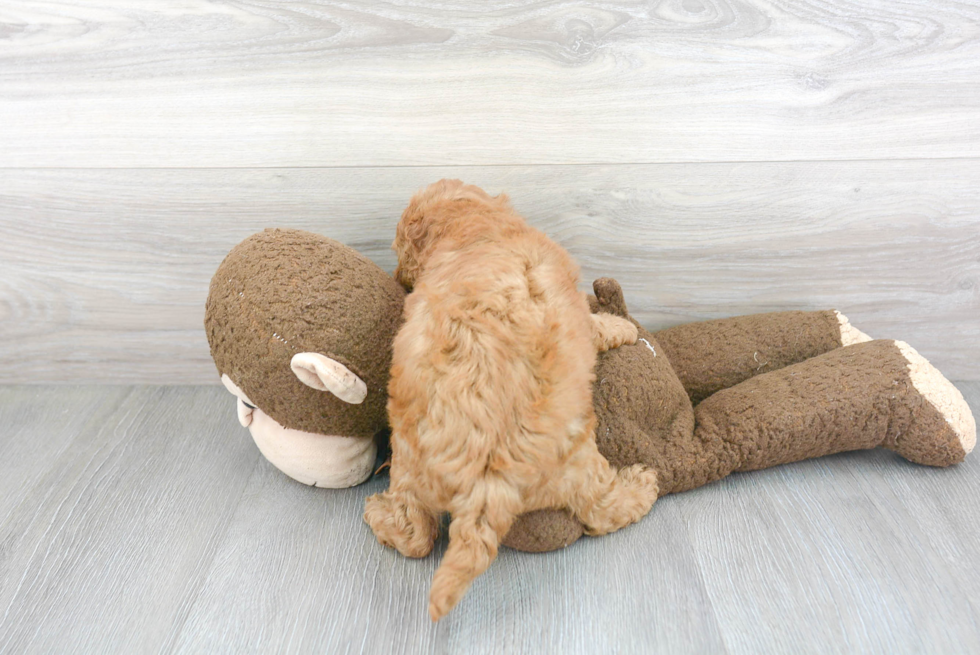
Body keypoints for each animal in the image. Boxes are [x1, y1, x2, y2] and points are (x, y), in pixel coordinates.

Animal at [362, 182, 660, 624]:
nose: (399, 280)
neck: (476, 227)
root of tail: (485, 484)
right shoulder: (573, 303)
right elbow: (595, 325)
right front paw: (620, 326)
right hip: (578, 460)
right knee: (600, 509)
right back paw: (641, 486)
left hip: (409, 463)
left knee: (414, 533)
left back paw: (381, 516)